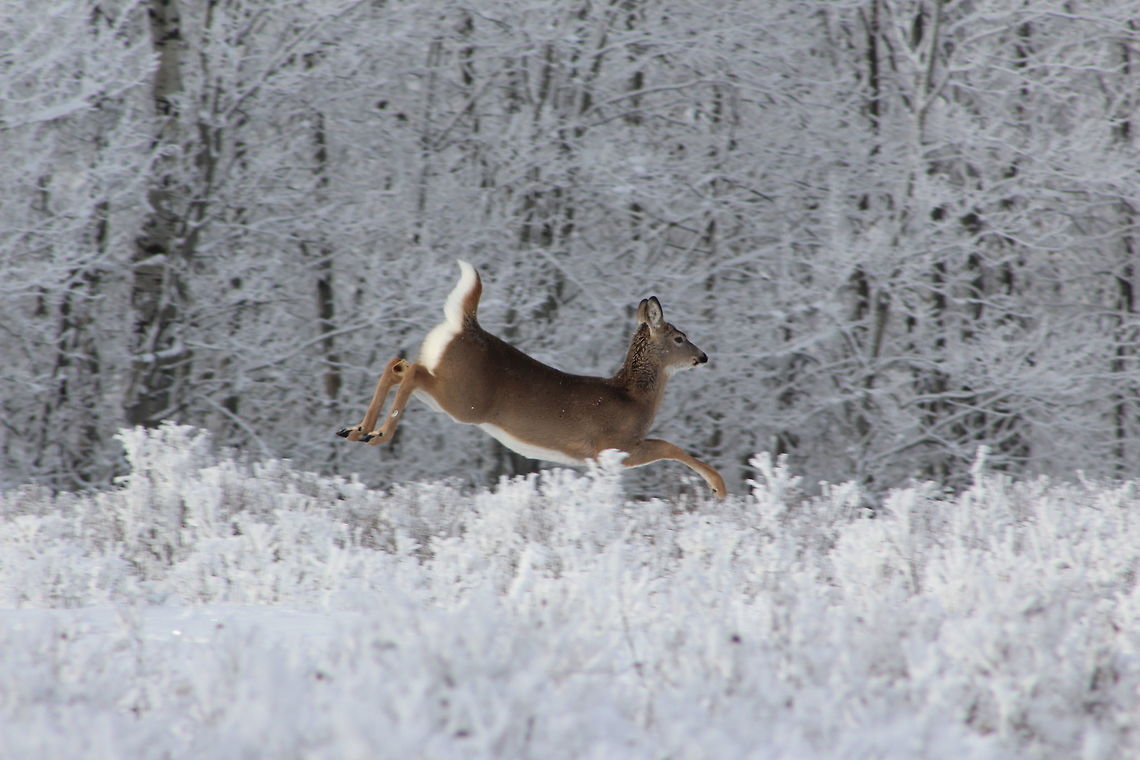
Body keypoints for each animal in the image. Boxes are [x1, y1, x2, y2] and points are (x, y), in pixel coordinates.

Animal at [336, 260, 726, 498]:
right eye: (680, 337)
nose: (703, 357)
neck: (633, 398)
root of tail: (465, 323)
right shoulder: (614, 446)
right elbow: (670, 447)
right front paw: (718, 488)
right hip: (464, 399)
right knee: (411, 371)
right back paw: (378, 435)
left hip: (445, 390)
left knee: (398, 364)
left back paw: (356, 430)